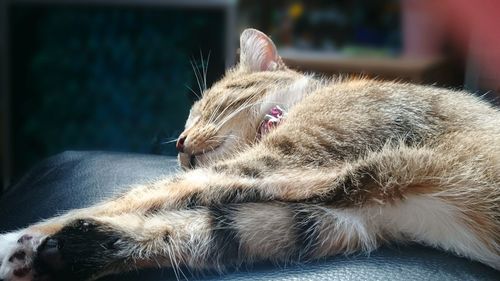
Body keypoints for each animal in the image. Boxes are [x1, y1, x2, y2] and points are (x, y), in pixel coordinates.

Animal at [0, 27, 500, 280]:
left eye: (206, 105)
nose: (178, 144)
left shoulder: (290, 160)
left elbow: (147, 194)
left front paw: (16, 239)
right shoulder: (340, 220)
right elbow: (200, 229)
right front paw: (56, 252)